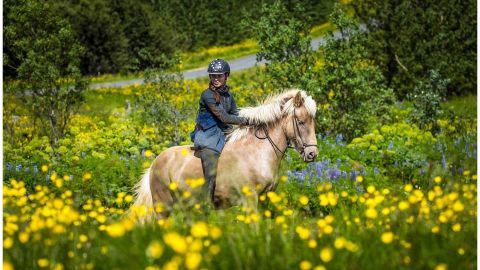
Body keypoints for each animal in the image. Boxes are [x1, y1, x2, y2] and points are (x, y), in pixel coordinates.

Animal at [133, 89, 316, 220]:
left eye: (312, 121)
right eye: (300, 121)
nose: (312, 154)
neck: (258, 153)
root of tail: (154, 163)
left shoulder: (265, 197)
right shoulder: (250, 199)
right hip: (163, 207)